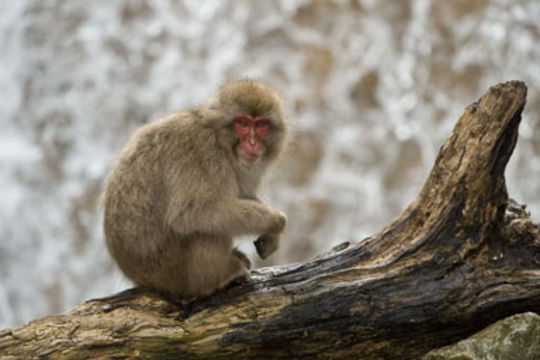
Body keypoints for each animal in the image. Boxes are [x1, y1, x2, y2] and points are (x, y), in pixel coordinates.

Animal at [102, 80, 286, 300]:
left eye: (260, 125)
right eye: (243, 123)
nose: (252, 143)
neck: (219, 138)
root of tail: (145, 280)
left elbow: (243, 194)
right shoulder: (204, 154)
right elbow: (191, 213)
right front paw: (276, 221)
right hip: (178, 273)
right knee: (205, 225)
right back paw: (221, 275)